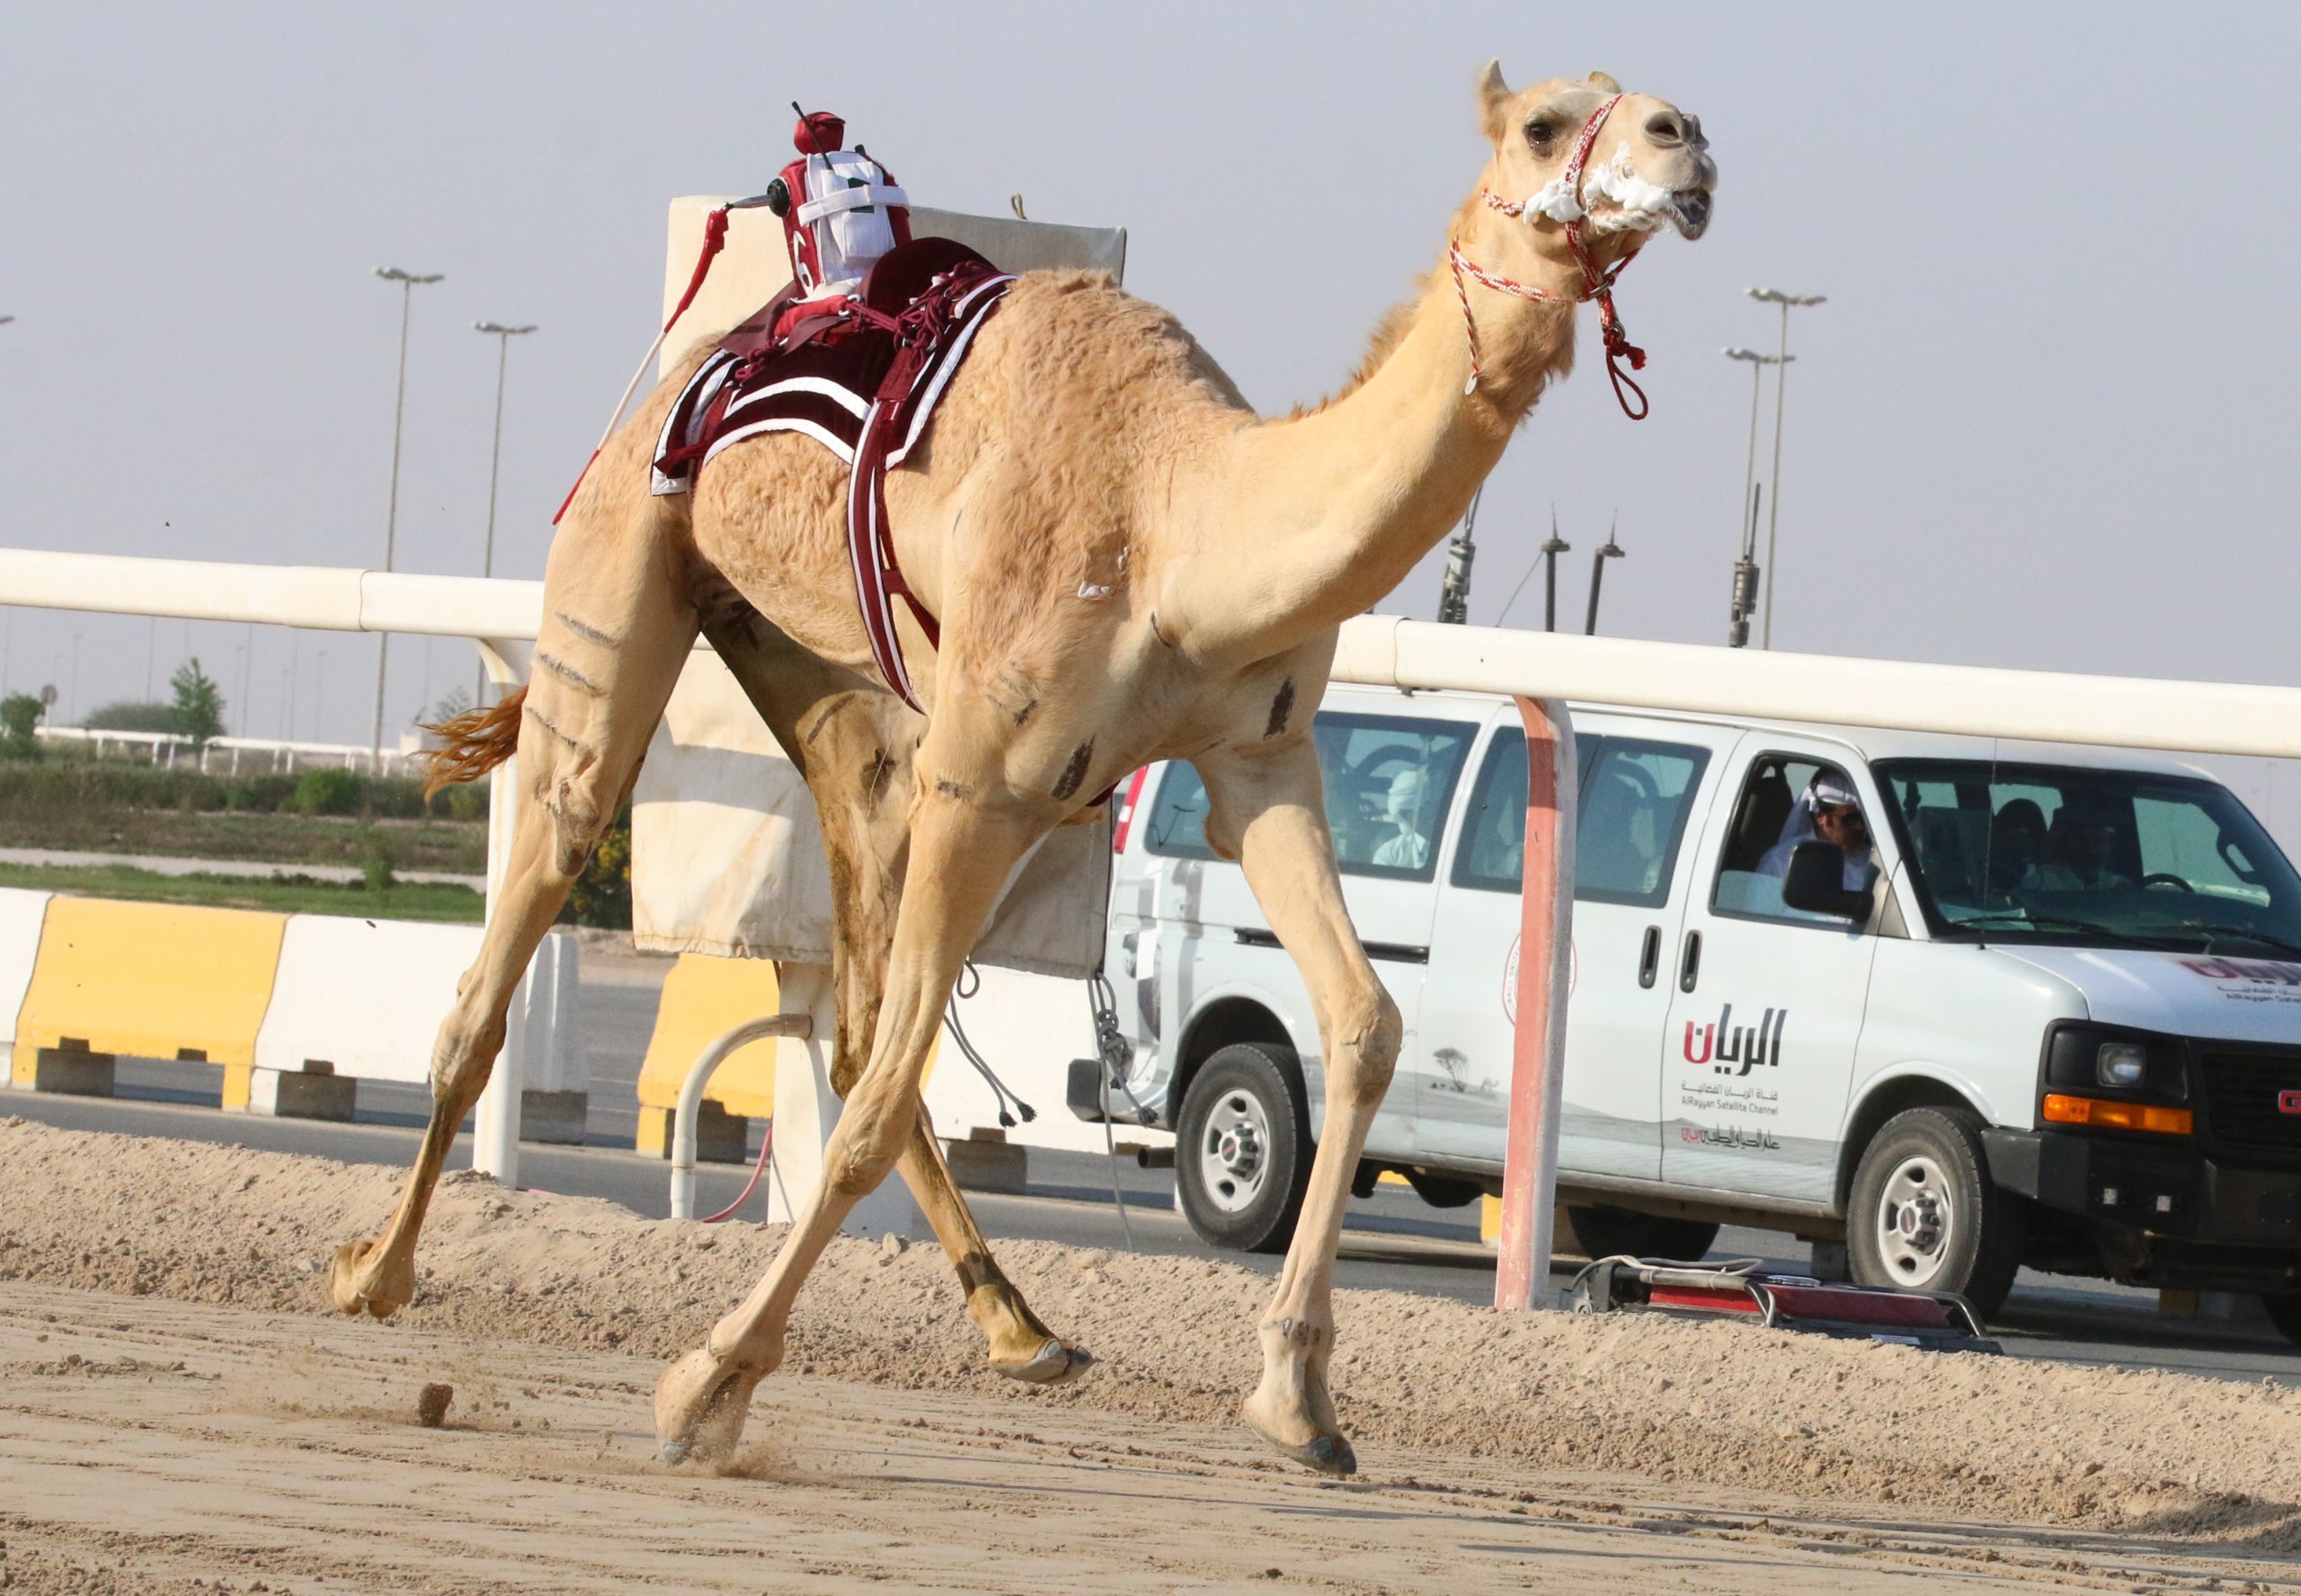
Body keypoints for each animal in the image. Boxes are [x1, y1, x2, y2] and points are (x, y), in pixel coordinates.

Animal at [333, 65, 1720, 1490]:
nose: (1688, 147)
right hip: (623, 570)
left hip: (825, 685)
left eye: (1643, 103)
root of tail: (697, 369)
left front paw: (1298, 1400)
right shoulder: (988, 781)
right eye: (1545, 125)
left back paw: (1022, 1327)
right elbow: (884, 1096)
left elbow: (1364, 1025)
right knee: (539, 905)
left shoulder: (1258, 757)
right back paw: (374, 1274)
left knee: (851, 991)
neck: (1180, 518)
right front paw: (702, 1388)